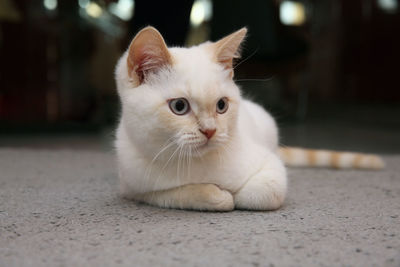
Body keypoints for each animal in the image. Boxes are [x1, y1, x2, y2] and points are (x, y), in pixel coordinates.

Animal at [114, 26, 382, 211]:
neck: (195, 163)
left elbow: (262, 193)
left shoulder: (270, 166)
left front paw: (233, 194)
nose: (210, 131)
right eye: (179, 106)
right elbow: (174, 194)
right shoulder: (133, 186)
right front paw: (215, 195)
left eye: (222, 105)